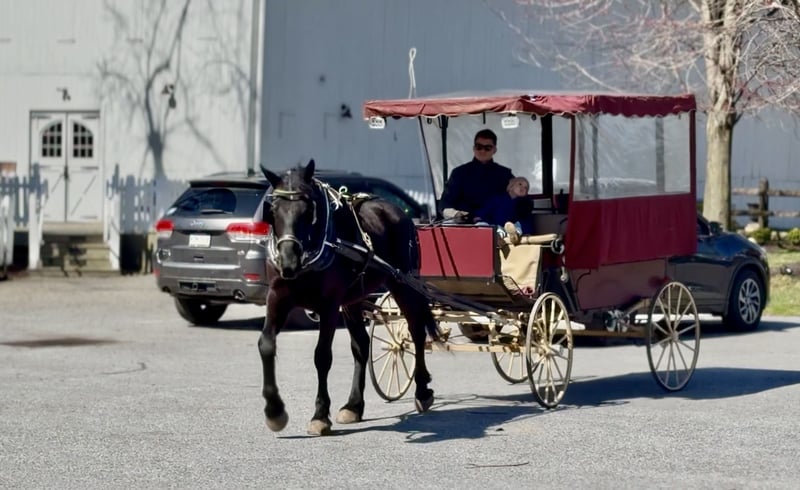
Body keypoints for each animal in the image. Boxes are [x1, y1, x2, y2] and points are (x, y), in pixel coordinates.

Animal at [258, 159, 439, 435]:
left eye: (308, 210)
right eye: (273, 209)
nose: (288, 261)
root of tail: (398, 211)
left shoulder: (329, 305)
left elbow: (322, 356)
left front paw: (320, 415)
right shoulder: (277, 297)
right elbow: (266, 345)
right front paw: (274, 411)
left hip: (402, 282)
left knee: (416, 331)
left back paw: (421, 390)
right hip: (353, 299)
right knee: (362, 346)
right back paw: (354, 406)